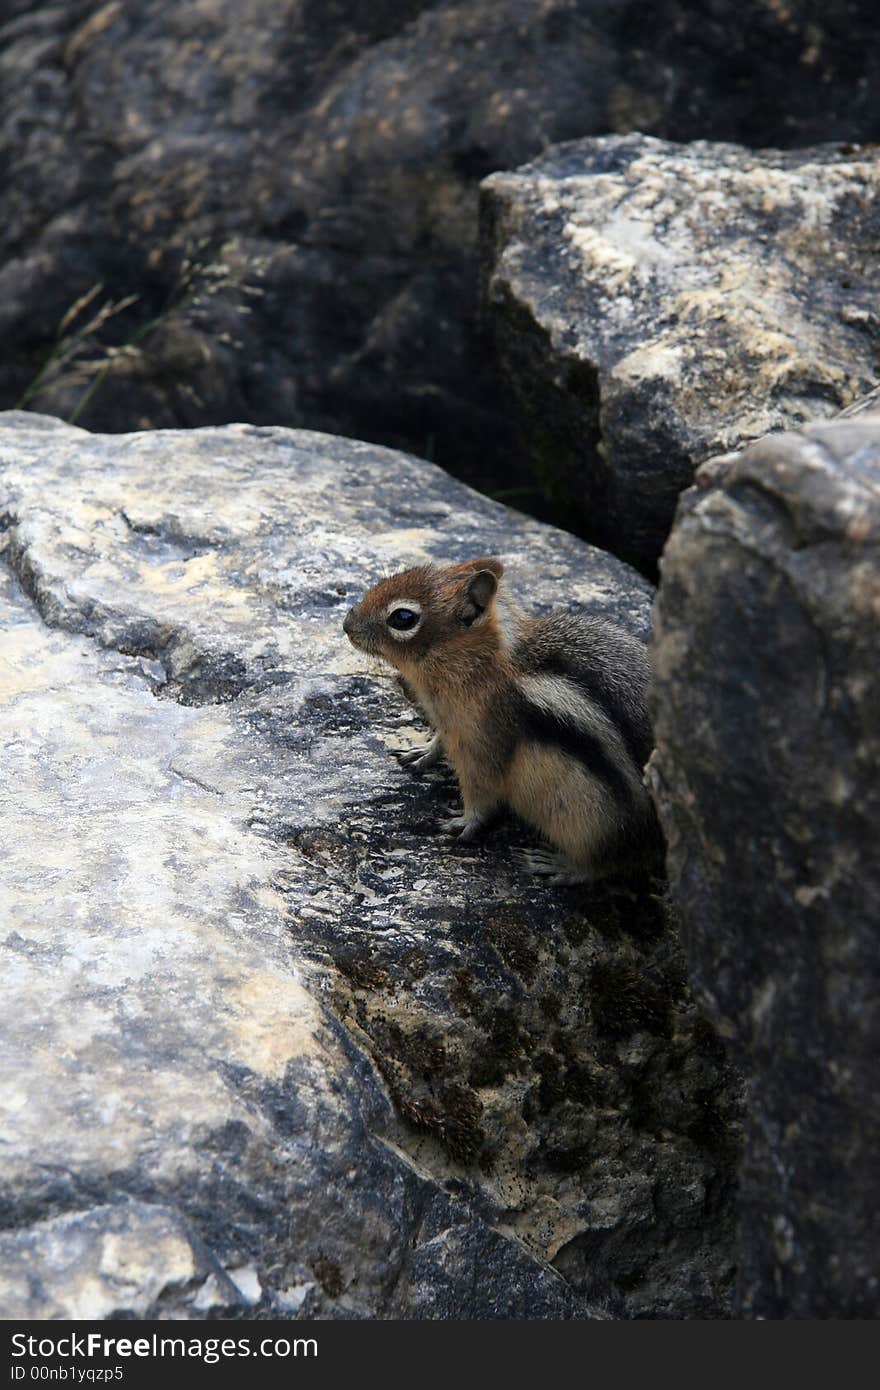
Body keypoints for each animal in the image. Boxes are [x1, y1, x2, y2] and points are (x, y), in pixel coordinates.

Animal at [339, 558, 656, 884]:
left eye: (402, 617)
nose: (346, 624)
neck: (480, 663)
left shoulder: (480, 748)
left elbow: (481, 795)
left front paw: (464, 822)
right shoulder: (449, 726)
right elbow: (438, 741)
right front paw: (422, 752)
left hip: (593, 827)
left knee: (606, 864)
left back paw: (562, 866)